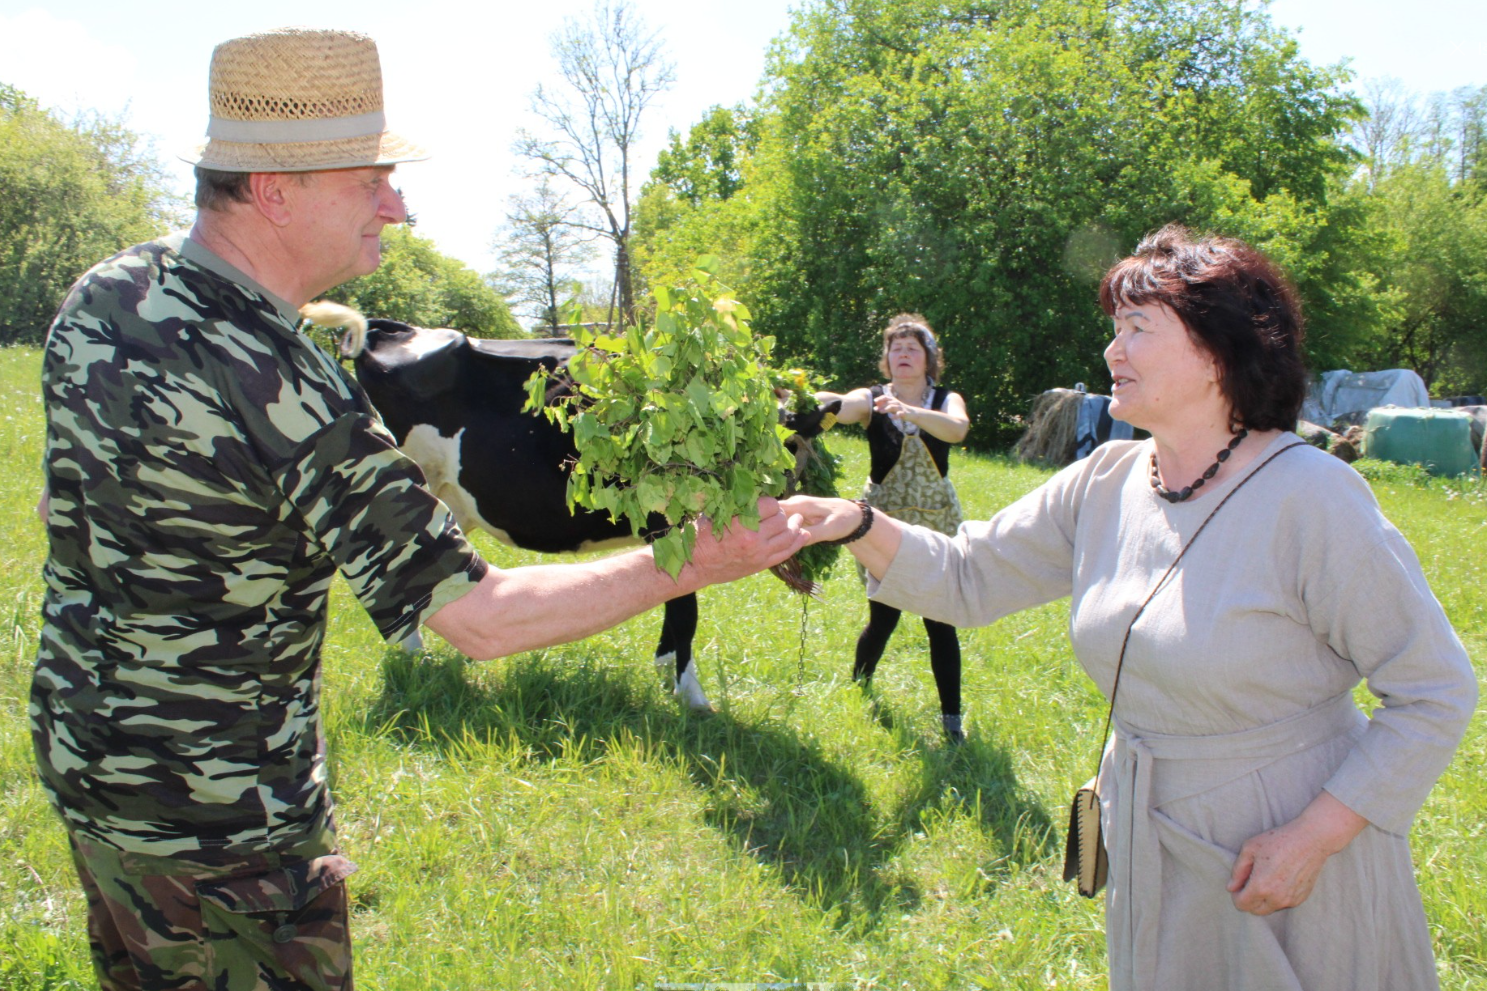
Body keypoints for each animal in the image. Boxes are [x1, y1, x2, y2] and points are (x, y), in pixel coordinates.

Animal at [301, 300, 838, 711]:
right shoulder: (669, 525)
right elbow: (685, 605)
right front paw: (691, 697)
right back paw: (417, 660)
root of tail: (393, 327)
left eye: (797, 439)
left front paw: (668, 672)